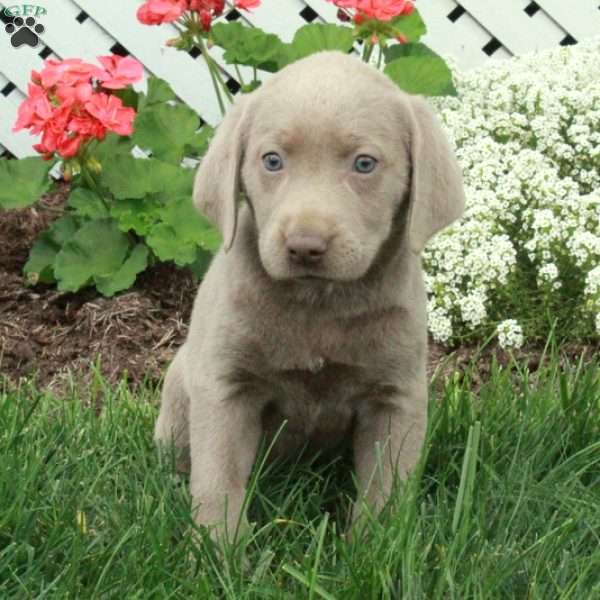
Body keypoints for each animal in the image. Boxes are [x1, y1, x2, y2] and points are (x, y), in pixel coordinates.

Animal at [155, 49, 464, 540]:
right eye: (272, 160)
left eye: (364, 164)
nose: (304, 246)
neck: (319, 302)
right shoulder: (225, 387)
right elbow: (218, 479)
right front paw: (218, 548)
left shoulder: (396, 395)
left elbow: (387, 486)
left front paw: (375, 545)